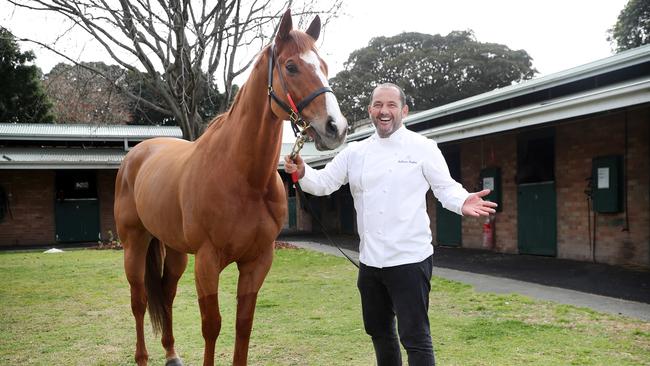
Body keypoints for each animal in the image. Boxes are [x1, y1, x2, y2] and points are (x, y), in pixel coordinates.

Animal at [114, 9, 346, 366]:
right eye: (291, 66)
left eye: (323, 66)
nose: (335, 127)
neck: (243, 178)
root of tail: (135, 156)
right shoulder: (207, 261)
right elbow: (212, 325)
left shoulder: (257, 261)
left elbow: (243, 323)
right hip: (134, 244)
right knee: (138, 301)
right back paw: (142, 357)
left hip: (175, 250)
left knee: (166, 294)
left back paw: (172, 353)